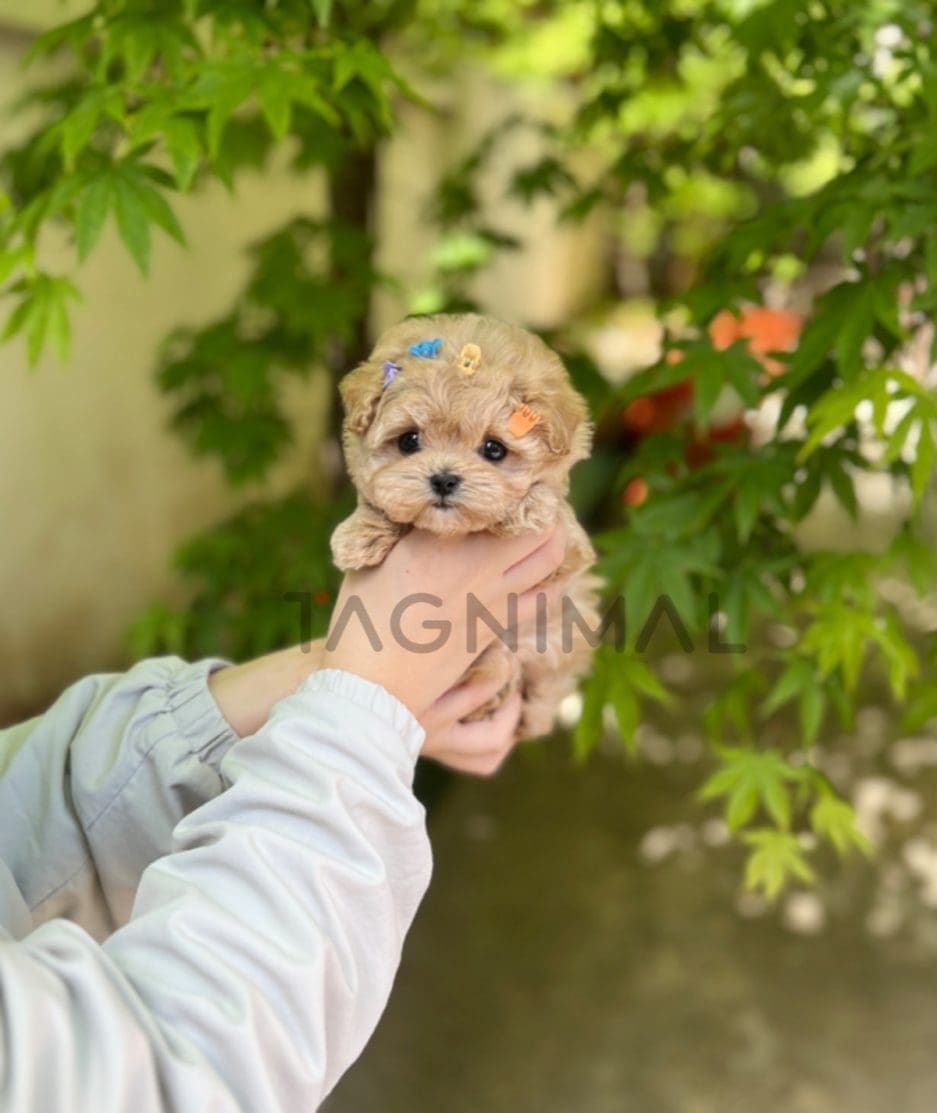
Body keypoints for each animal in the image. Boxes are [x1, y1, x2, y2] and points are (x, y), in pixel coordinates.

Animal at [331, 313, 600, 739]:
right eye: (408, 441)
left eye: (494, 449)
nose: (443, 479)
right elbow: (379, 500)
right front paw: (359, 535)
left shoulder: (569, 555)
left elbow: (552, 511)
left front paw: (528, 507)